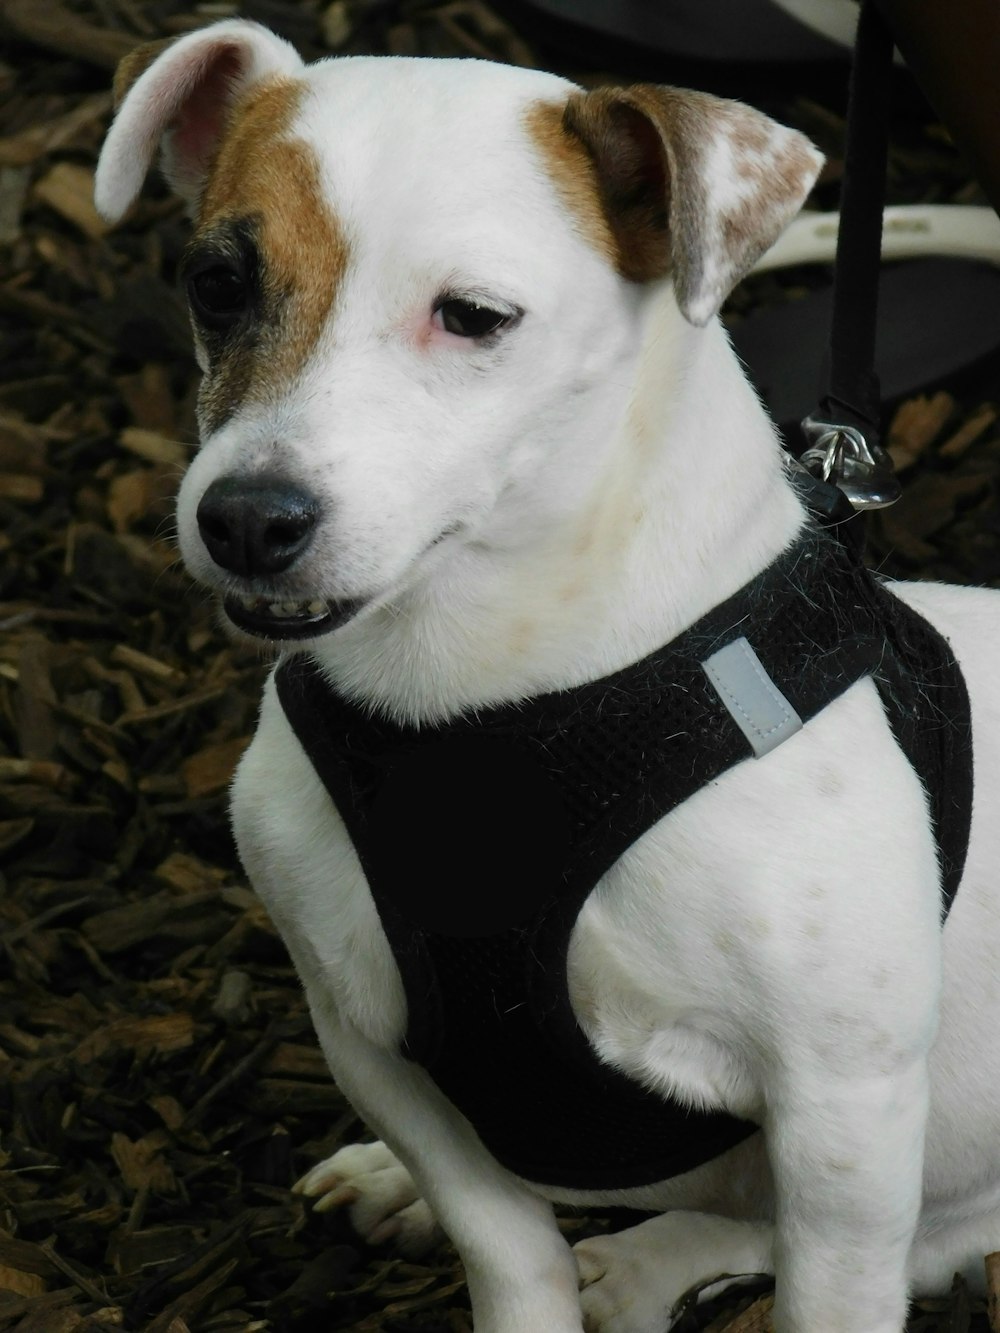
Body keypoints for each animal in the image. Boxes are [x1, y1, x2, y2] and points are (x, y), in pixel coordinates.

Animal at [98, 18, 1000, 1333]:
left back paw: (647, 1258)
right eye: (217, 284)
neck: (491, 706)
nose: (248, 519)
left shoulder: (847, 1116)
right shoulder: (370, 1041)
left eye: (474, 316)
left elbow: (820, 1277)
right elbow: (505, 1244)